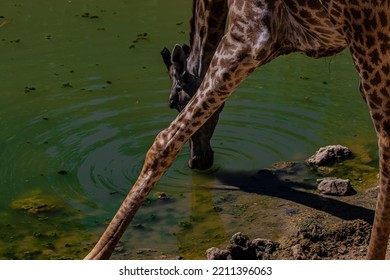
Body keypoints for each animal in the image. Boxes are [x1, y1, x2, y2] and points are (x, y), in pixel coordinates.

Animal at [86, 0, 390, 260]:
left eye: (173, 101)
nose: (197, 161)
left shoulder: (247, 41)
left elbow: (163, 142)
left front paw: (96, 254)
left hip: (367, 35)